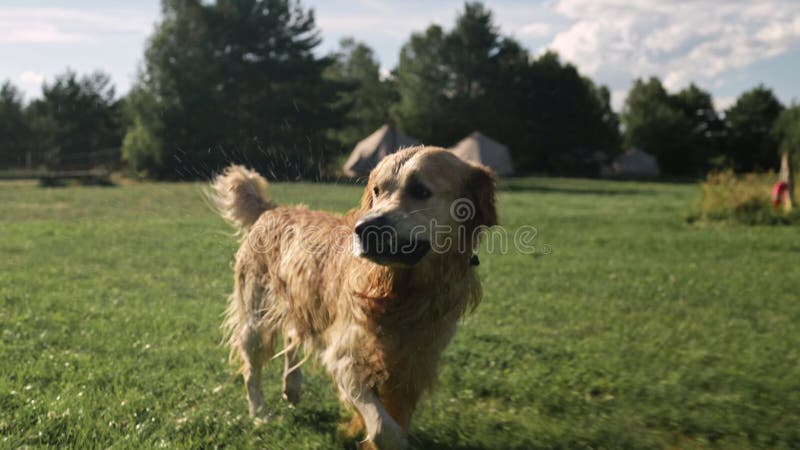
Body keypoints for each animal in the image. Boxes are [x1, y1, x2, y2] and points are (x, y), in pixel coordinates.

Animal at [209, 146, 494, 448]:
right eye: (377, 190)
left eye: (419, 190)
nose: (364, 228)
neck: (403, 291)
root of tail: (271, 209)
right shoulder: (346, 358)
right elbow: (382, 427)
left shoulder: (417, 362)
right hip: (256, 316)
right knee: (252, 367)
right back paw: (260, 412)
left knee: (292, 334)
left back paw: (292, 386)